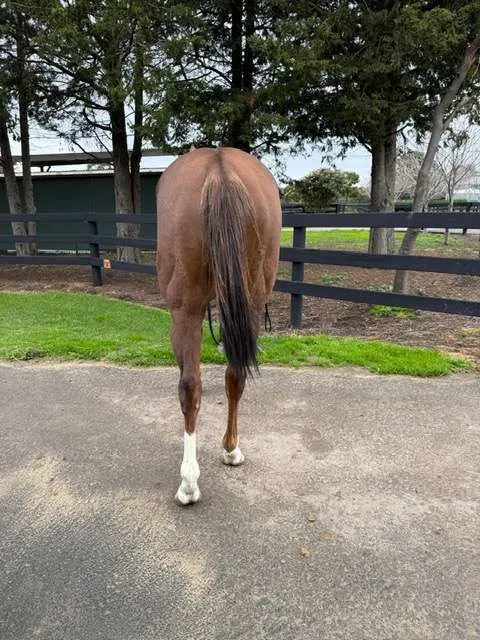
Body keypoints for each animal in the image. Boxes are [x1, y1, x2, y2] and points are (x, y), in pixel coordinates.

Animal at [156, 147, 282, 505]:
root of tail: (219, 168)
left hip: (185, 309)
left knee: (189, 386)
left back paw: (188, 483)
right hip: (251, 301)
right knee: (235, 375)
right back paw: (231, 449)